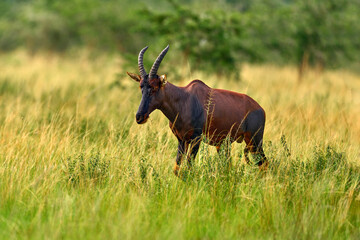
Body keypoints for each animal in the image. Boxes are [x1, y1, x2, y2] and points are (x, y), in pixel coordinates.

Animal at [126, 45, 268, 176]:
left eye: (155, 87)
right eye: (141, 87)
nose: (140, 117)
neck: (184, 99)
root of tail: (260, 109)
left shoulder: (196, 139)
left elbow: (189, 168)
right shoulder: (181, 140)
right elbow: (177, 170)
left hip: (254, 142)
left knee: (264, 163)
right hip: (225, 144)